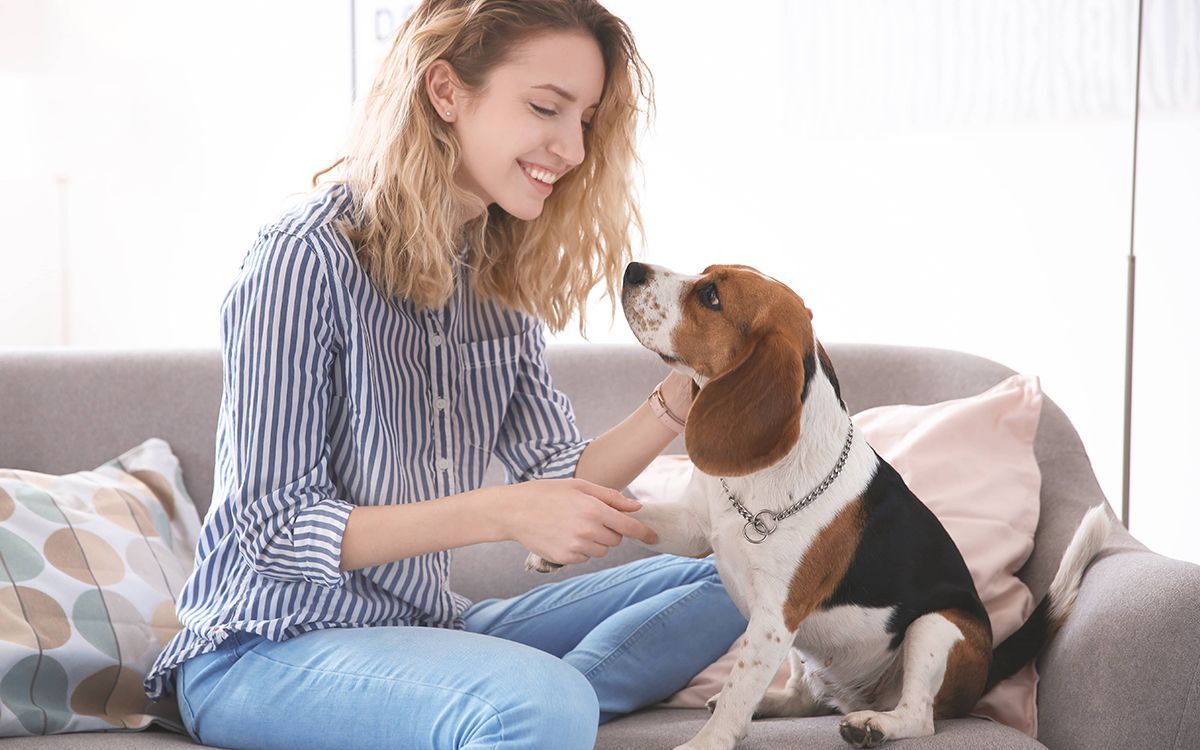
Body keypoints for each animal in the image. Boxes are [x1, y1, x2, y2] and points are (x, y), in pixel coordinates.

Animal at [530, 260, 1108, 744]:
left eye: (711, 296)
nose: (632, 268)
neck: (758, 482)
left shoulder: (773, 620)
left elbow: (739, 687)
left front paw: (707, 741)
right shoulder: (695, 529)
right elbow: (628, 513)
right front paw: (554, 533)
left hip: (938, 628)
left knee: (919, 716)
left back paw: (873, 724)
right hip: (813, 654)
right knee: (806, 697)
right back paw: (777, 704)